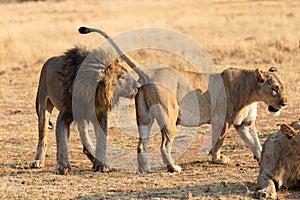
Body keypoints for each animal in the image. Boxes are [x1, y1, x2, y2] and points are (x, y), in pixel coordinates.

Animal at [29, 44, 139, 174]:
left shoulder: (100, 114)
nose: (138, 86)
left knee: (83, 134)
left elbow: (101, 141)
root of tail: (47, 61)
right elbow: (62, 141)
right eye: (122, 77)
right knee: (42, 137)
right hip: (43, 106)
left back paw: (93, 157)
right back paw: (38, 161)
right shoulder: (64, 115)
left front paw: (102, 164)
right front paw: (63, 167)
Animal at [78, 26, 288, 173]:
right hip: (170, 116)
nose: (284, 103)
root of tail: (149, 72)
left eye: (283, 87)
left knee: (141, 145)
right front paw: (218, 159)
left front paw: (262, 159)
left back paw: (145, 169)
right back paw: (173, 168)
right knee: (164, 146)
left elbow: (256, 143)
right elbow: (218, 141)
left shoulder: (245, 124)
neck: (252, 92)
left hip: (144, 118)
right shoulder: (222, 120)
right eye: (275, 89)